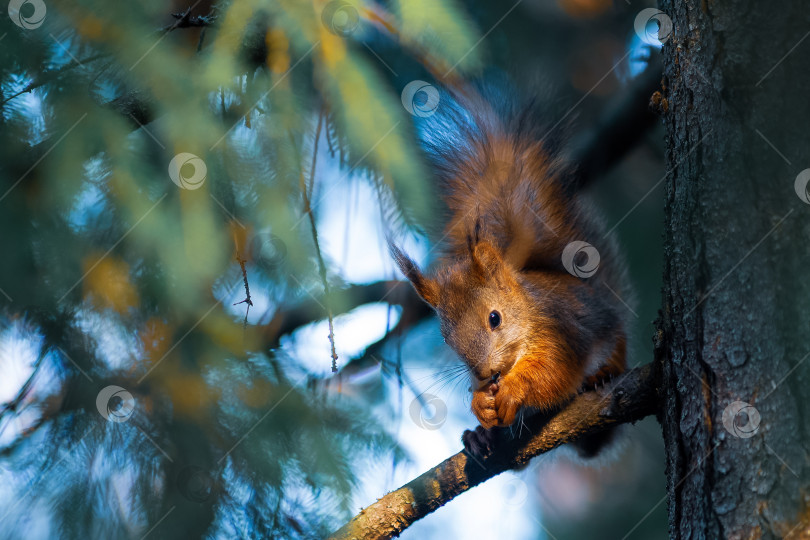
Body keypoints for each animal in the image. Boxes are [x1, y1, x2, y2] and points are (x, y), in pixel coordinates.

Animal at [388, 83, 628, 456]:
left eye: (494, 318)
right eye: (446, 337)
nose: (485, 374)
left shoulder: (562, 332)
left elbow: (552, 373)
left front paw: (516, 388)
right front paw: (479, 405)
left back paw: (603, 374)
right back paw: (479, 437)